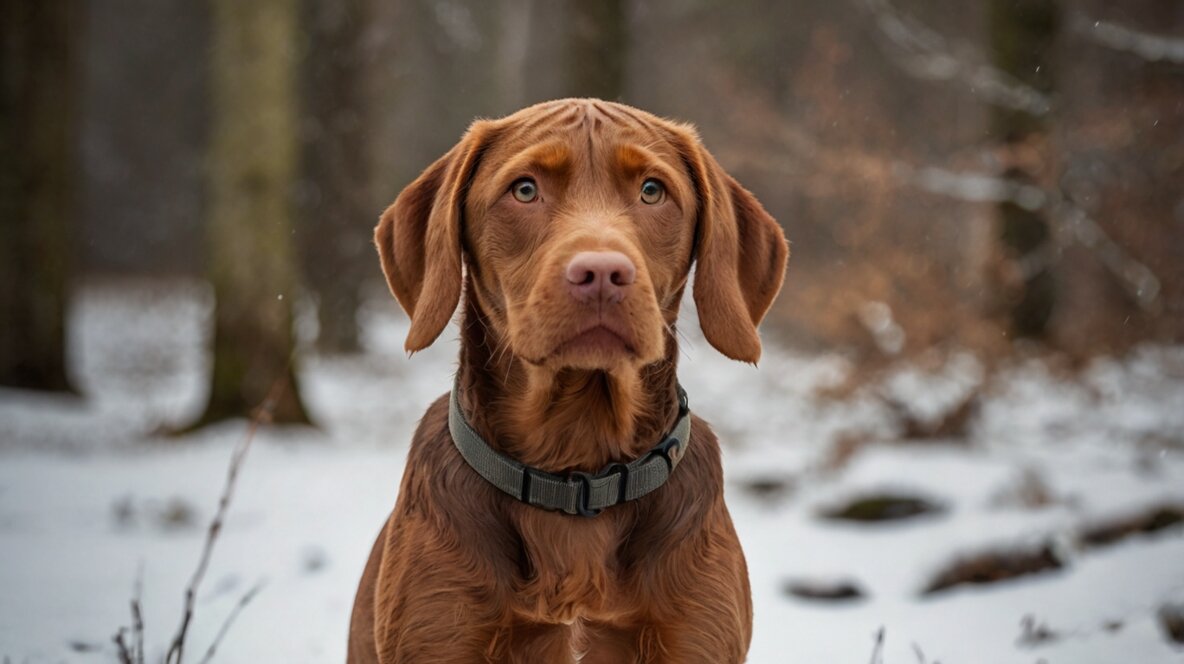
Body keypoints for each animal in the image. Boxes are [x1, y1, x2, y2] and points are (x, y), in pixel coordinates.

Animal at [350, 98, 790, 662]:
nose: (601, 274)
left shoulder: (694, 638)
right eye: (525, 189)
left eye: (652, 190)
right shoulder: (440, 634)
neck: (575, 469)